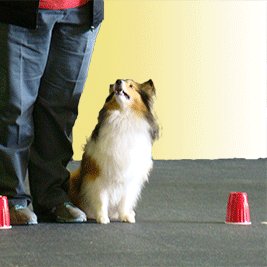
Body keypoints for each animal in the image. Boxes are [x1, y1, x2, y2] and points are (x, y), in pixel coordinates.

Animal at [69, 79, 160, 224]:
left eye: (131, 85)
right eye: (120, 81)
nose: (118, 81)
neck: (123, 116)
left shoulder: (129, 177)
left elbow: (125, 200)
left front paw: (126, 217)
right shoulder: (99, 174)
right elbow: (101, 198)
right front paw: (102, 218)